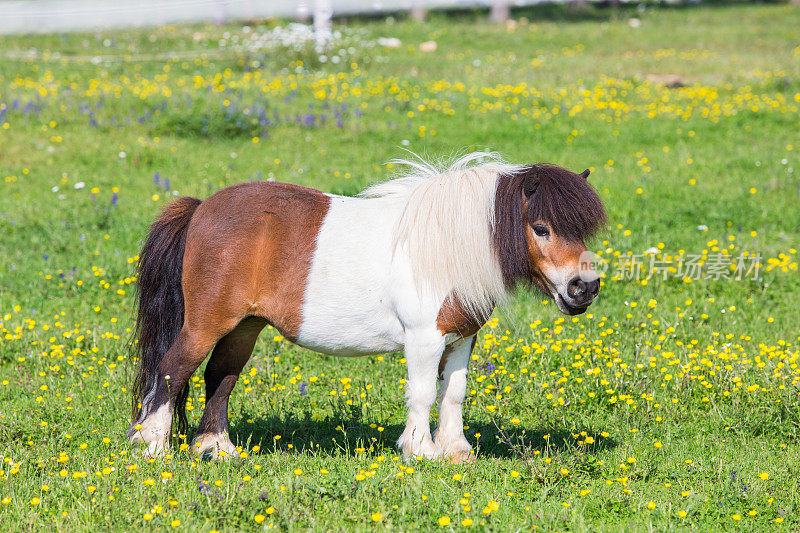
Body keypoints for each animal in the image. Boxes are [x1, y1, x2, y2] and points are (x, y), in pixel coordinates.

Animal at [128, 152, 608, 460]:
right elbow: (423, 392)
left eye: (582, 231)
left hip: (244, 326)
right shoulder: (424, 338)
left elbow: (453, 392)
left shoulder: (461, 339)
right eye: (541, 228)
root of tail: (200, 209)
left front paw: (457, 451)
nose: (584, 288)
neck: (447, 246)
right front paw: (421, 452)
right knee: (172, 369)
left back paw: (218, 449)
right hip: (206, 323)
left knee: (219, 376)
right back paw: (152, 446)